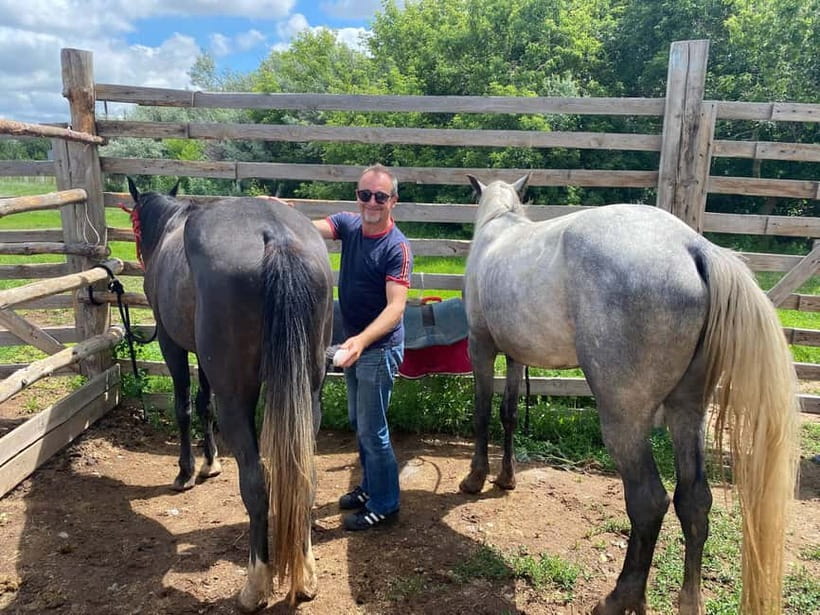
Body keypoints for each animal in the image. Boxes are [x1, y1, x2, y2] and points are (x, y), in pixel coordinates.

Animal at [126, 179, 333, 611]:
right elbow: (202, 403)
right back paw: (306, 577)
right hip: (309, 394)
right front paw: (210, 463)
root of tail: (275, 236)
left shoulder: (171, 343)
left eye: (134, 223)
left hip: (236, 397)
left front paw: (187, 470)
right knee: (304, 479)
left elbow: (184, 406)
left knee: (256, 485)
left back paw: (255, 585)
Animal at [459, 175, 799, 615]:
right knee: (694, 500)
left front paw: (475, 478)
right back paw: (686, 601)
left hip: (625, 419)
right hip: (687, 411)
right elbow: (509, 414)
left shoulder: (480, 347)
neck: (499, 228)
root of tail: (694, 248)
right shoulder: (517, 357)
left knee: (649, 502)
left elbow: (483, 412)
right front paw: (506, 477)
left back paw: (620, 598)